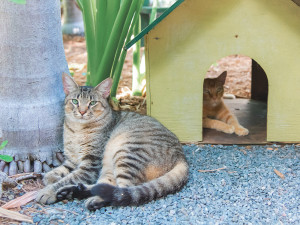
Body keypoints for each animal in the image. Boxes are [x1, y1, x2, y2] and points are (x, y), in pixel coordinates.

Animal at [35, 73, 188, 210]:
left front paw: (47, 191)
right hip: (110, 165)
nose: (82, 112)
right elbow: (62, 169)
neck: (76, 130)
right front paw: (51, 176)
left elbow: (67, 179)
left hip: (126, 153)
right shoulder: (72, 159)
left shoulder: (91, 164)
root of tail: (181, 156)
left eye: (92, 103)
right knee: (106, 186)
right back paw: (73, 192)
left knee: (123, 191)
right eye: (75, 101)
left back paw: (90, 198)